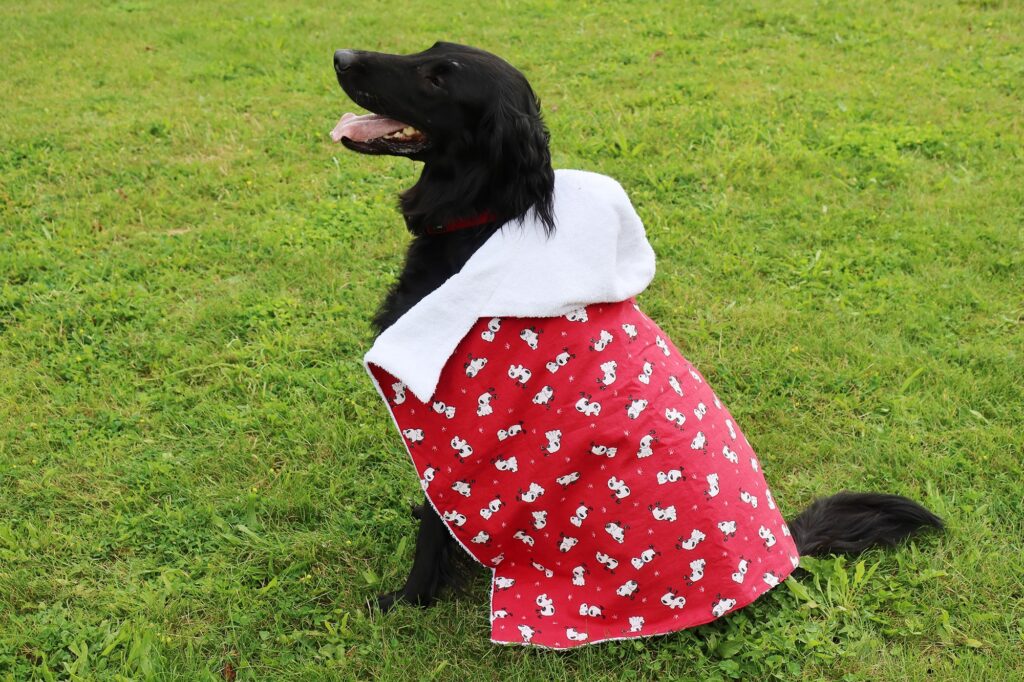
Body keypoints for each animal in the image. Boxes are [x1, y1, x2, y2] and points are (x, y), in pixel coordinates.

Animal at [329, 45, 942, 614]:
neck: (482, 222)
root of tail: (783, 553)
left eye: (437, 78)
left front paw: (406, 600)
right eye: (428, 51)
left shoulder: (452, 433)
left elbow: (433, 531)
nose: (341, 56)